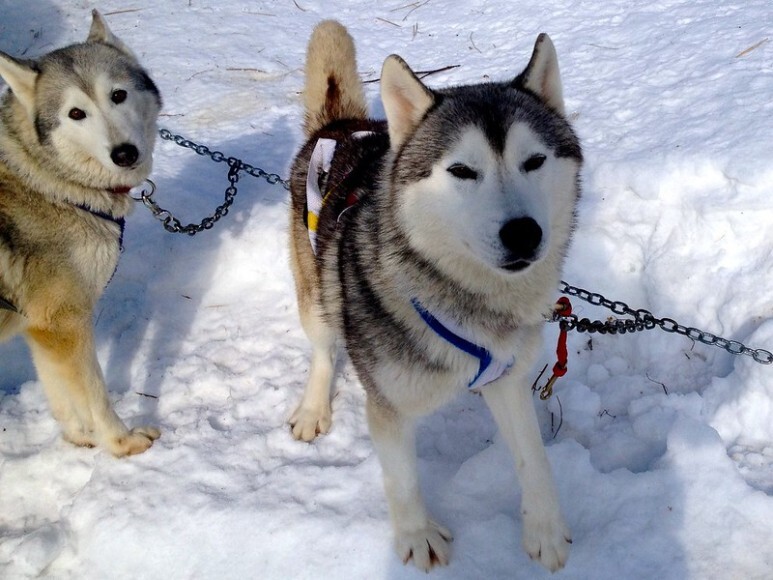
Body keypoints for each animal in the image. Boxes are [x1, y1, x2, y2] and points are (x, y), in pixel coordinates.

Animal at [0, 7, 160, 454]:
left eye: (118, 96)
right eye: (76, 114)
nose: (124, 153)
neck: (49, 181)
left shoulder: (42, 328)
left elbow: (62, 397)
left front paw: (80, 439)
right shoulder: (65, 323)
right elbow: (95, 395)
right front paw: (120, 443)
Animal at [288, 21, 580, 572]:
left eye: (534, 161)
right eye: (462, 171)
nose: (524, 233)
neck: (463, 299)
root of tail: (343, 126)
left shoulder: (509, 379)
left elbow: (534, 458)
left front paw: (546, 529)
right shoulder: (388, 405)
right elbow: (402, 478)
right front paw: (417, 535)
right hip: (313, 291)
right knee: (322, 347)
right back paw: (314, 408)